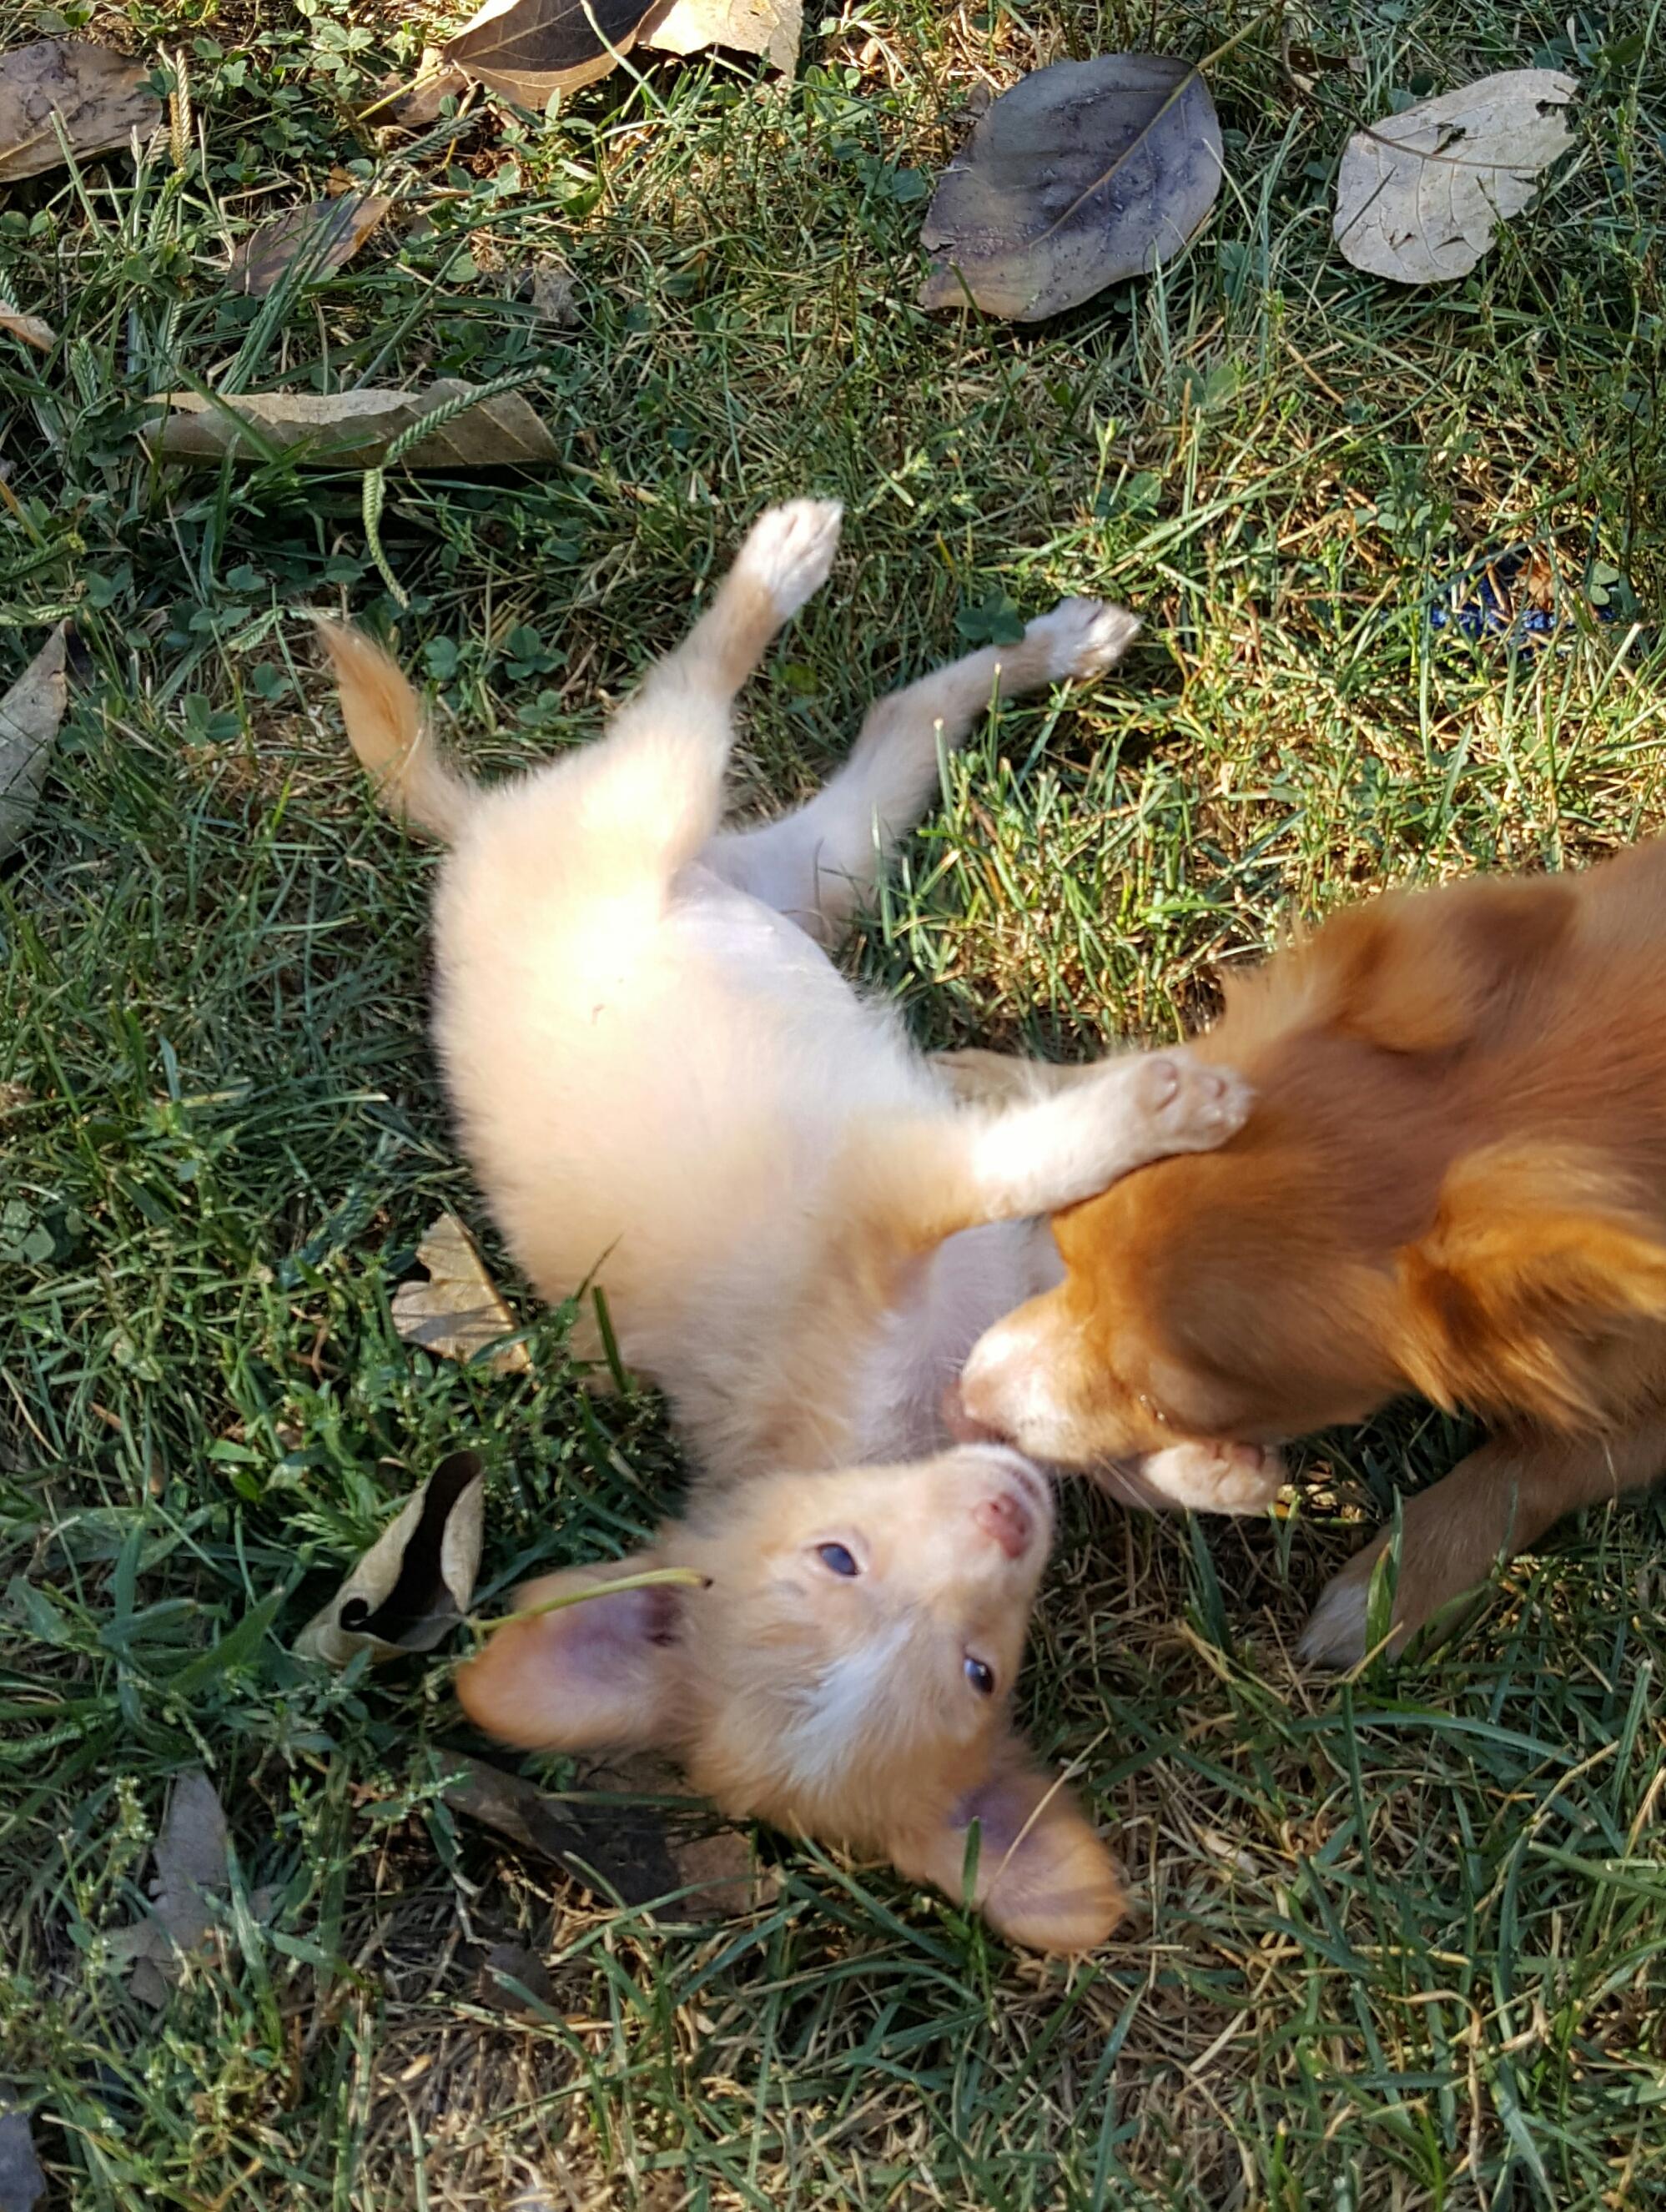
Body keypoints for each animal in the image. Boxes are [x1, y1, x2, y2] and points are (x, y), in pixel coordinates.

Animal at [325, 506, 1256, 1955]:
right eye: (979, 1668)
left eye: (838, 1553)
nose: (1007, 1510)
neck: (909, 1419)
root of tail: (470, 840)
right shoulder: (907, 1199)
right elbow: (1040, 1209)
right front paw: (1205, 1456)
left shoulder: (906, 1208)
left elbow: (1026, 1177)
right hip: (790, 856)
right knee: (856, 721)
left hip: (720, 839)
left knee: (738, 697)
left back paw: (839, 579)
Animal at [955, 845, 1666, 1663]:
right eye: (1065, 1254)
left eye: (1164, 1408)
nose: (965, 1400)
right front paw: (1029, 1096)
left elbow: (1547, 1458)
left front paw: (1394, 1585)